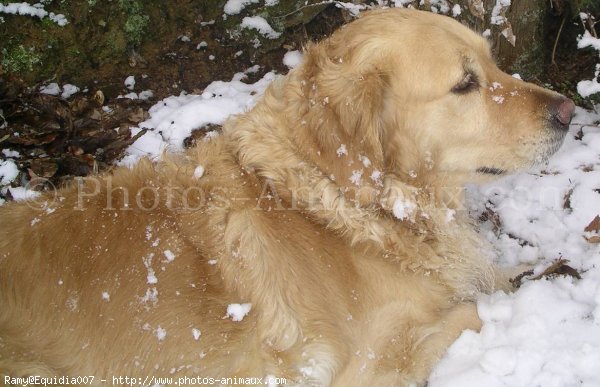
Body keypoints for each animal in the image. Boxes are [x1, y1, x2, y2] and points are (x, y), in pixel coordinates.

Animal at [0, 6, 576, 387]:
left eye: (493, 63)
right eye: (464, 83)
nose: (570, 112)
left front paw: (546, 268)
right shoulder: (366, 366)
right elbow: (473, 309)